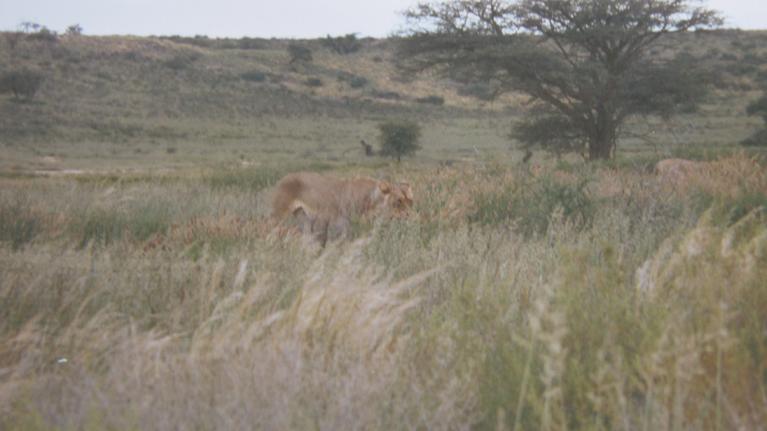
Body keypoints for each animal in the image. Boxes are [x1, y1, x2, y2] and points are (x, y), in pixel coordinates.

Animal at [272, 172, 414, 246]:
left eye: (410, 202)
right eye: (398, 201)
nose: (410, 216)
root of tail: (283, 178)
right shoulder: (345, 225)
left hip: (303, 217)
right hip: (279, 214)